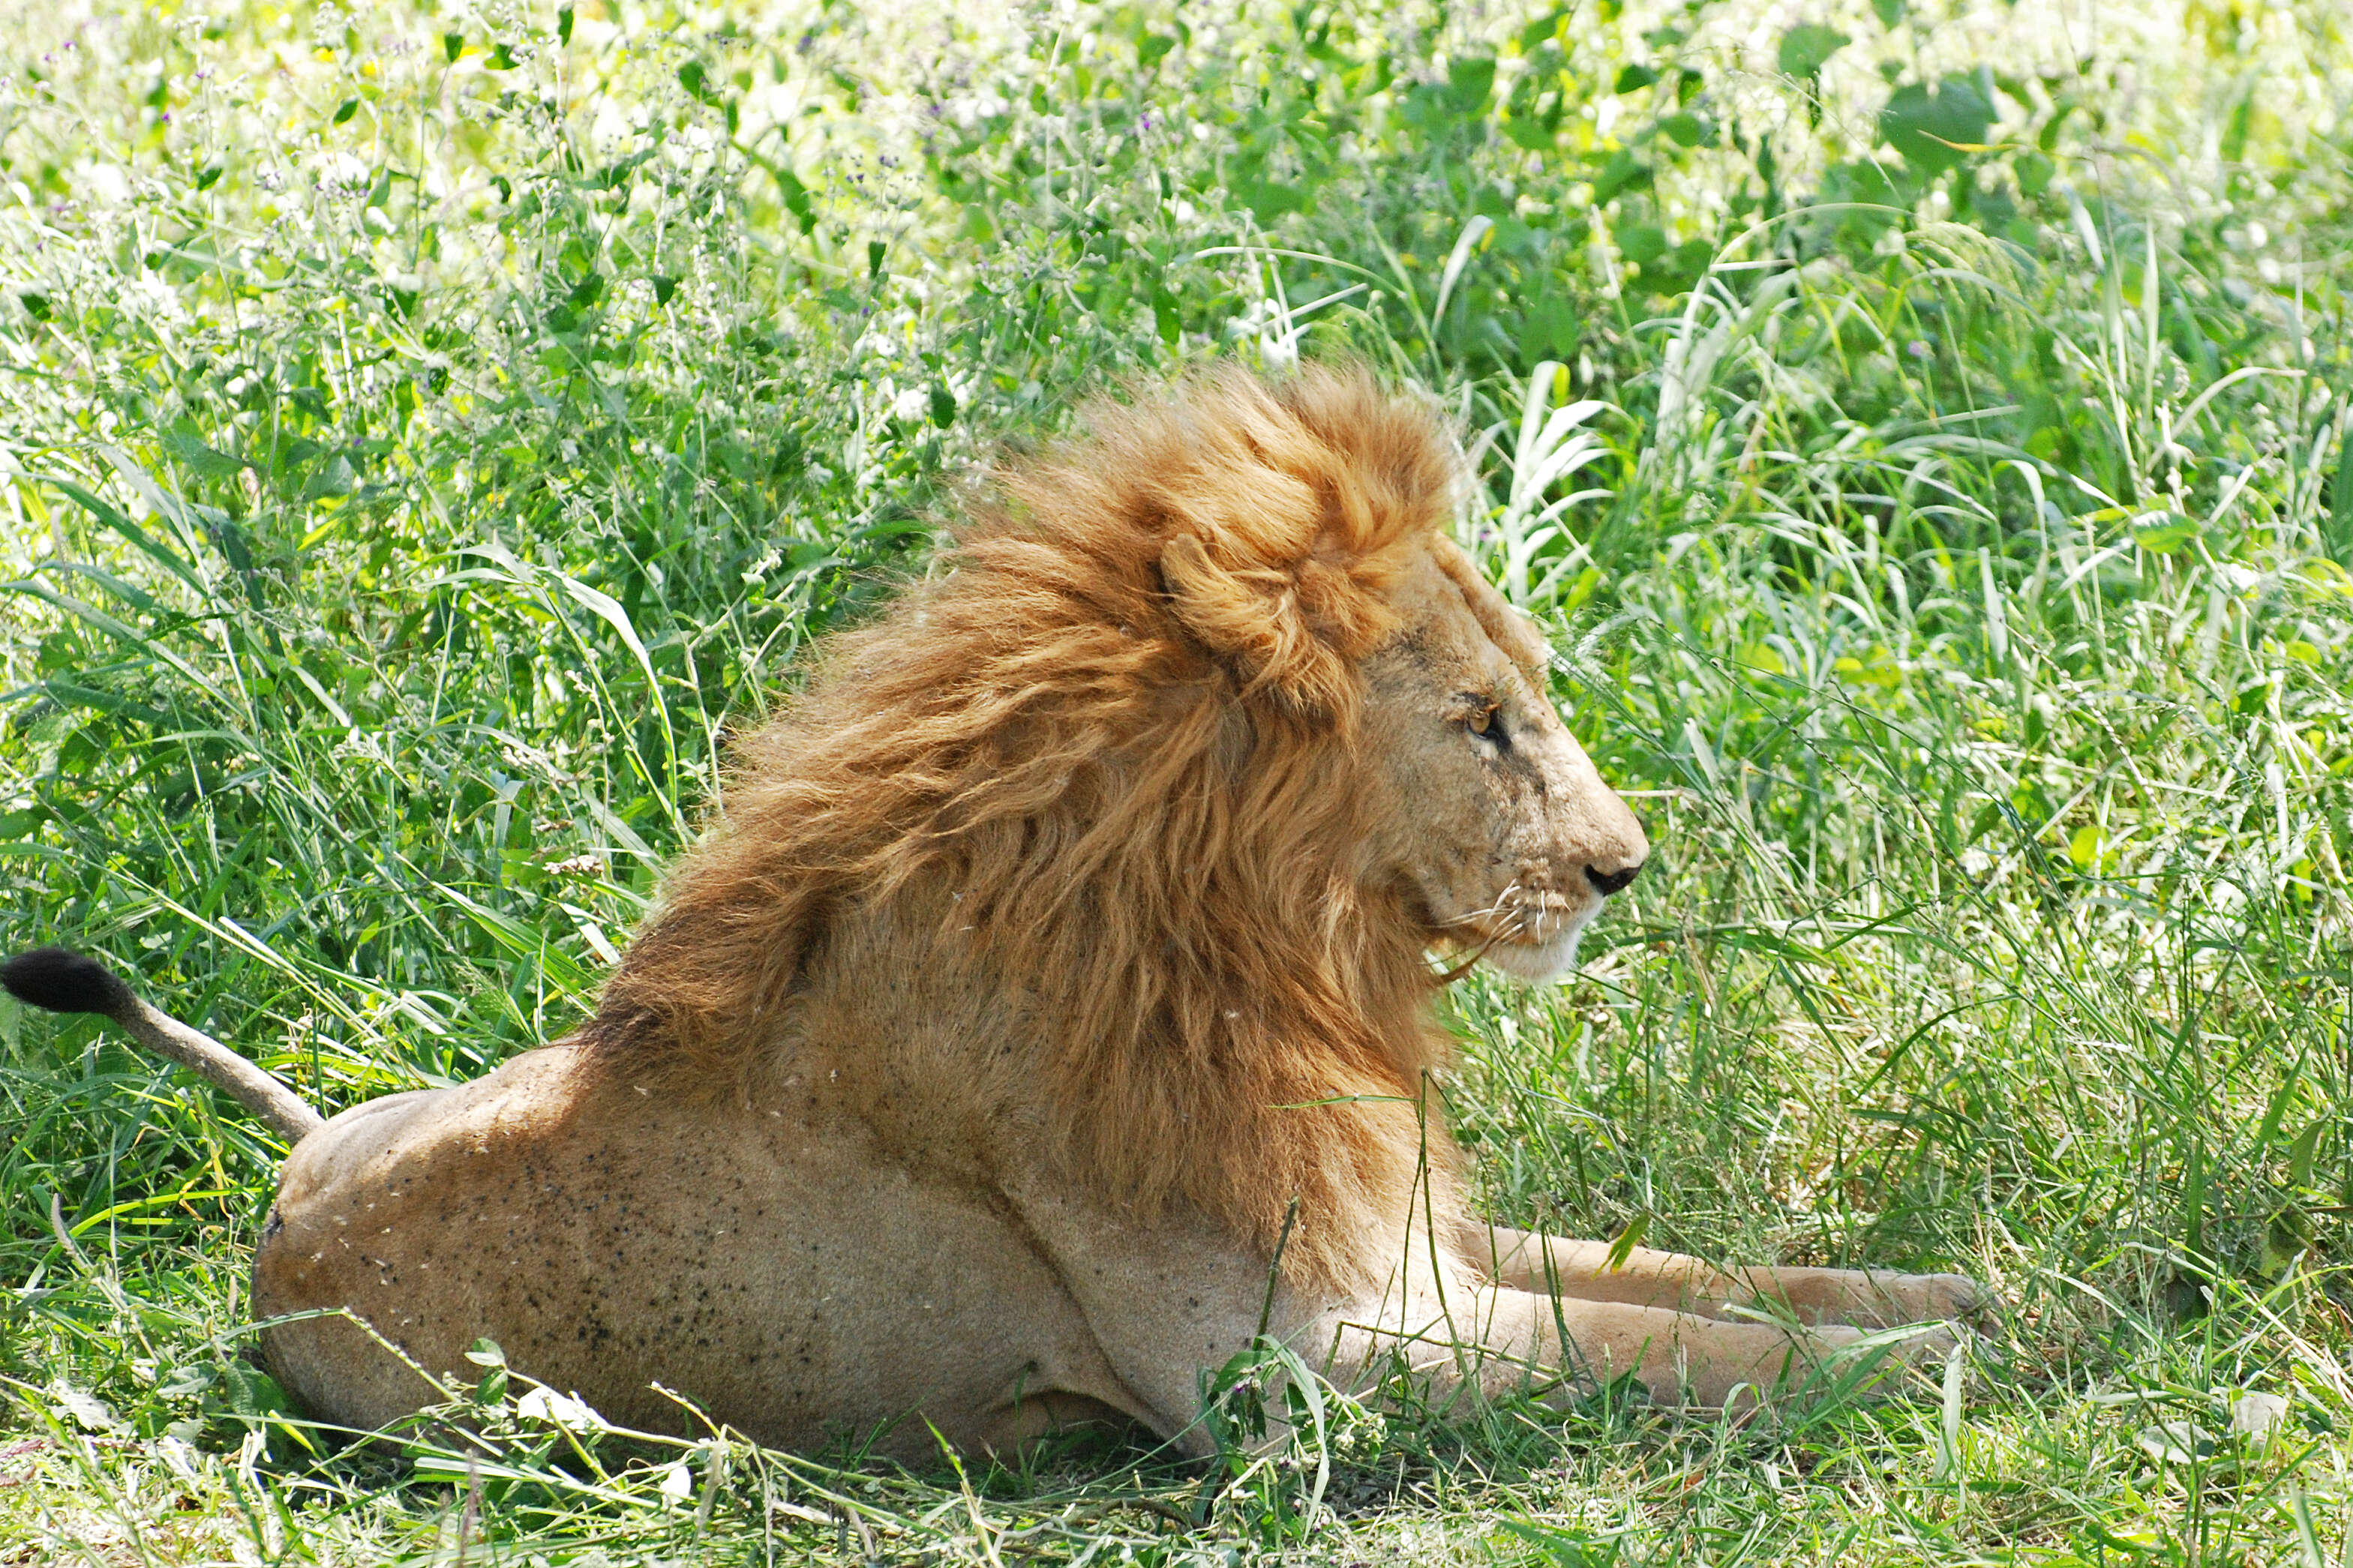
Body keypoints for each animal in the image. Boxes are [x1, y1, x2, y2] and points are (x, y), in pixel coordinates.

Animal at [5, 364, 1985, 1457]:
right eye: (1484, 720)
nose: (1621, 864)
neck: (1267, 955)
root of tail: (293, 1168)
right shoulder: (1300, 1369)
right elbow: (1700, 1348)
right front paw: (1946, 1369)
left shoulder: (1401, 1250)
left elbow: (1722, 1277)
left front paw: (2014, 1293)